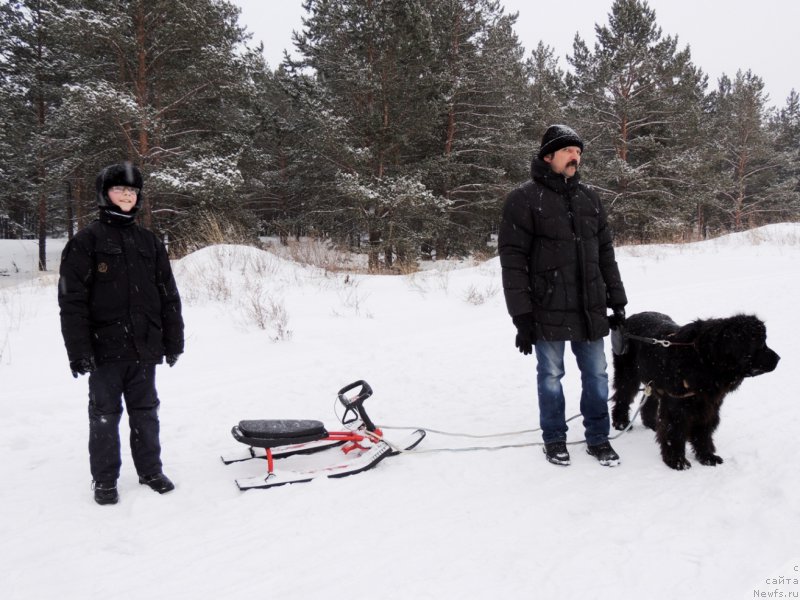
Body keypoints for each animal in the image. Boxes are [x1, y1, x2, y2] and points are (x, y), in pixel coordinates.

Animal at [608, 312, 780, 472]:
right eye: (760, 343)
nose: (778, 358)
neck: (705, 361)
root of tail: (629, 318)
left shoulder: (708, 405)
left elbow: (704, 430)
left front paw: (707, 456)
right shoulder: (677, 406)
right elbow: (674, 432)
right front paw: (676, 461)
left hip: (654, 380)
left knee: (649, 400)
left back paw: (651, 423)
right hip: (628, 373)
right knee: (622, 397)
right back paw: (621, 423)